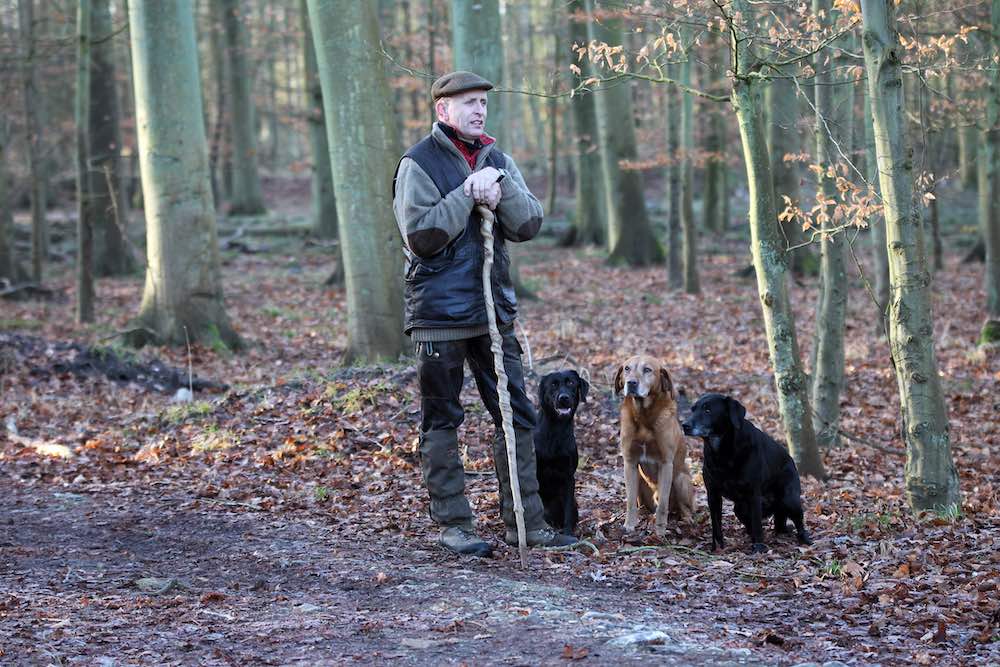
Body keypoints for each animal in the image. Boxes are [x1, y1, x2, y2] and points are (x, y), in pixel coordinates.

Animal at [536, 368, 588, 536]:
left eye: (571, 382)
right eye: (553, 385)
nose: (563, 398)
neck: (556, 430)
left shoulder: (568, 476)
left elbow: (568, 510)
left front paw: (568, 533)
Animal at [608, 354, 696, 536]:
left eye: (647, 369)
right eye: (627, 368)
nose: (631, 383)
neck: (643, 417)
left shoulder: (666, 464)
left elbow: (662, 505)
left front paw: (660, 532)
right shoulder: (630, 463)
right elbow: (630, 501)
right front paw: (629, 525)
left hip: (681, 480)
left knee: (683, 507)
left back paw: (686, 519)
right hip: (640, 481)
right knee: (640, 503)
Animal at [680, 394, 812, 556]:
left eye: (708, 410)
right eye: (693, 409)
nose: (684, 425)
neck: (723, 453)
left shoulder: (753, 494)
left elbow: (757, 523)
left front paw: (760, 548)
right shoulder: (713, 494)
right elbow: (716, 524)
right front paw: (717, 548)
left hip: (789, 499)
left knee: (798, 522)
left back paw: (804, 539)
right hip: (740, 508)